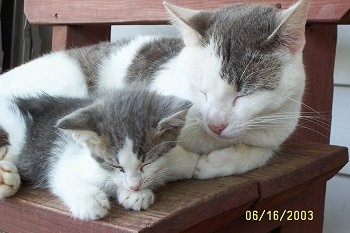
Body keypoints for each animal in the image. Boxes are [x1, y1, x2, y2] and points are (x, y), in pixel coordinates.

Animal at [0, 0, 310, 178]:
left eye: (244, 94)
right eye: (202, 91)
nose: (215, 124)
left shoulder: (279, 125)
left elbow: (264, 149)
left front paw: (221, 161)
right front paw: (194, 162)